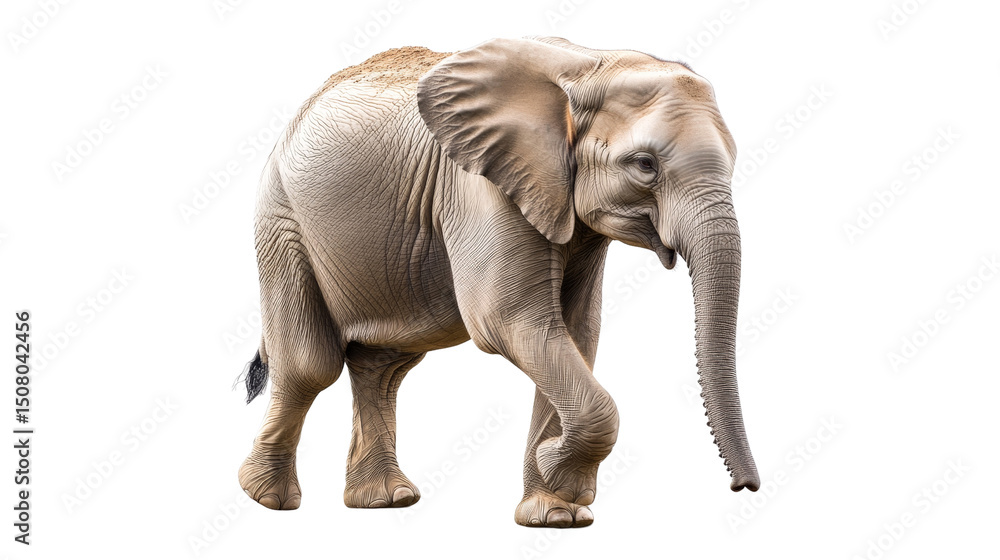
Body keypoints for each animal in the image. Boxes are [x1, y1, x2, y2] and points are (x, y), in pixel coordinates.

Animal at [237, 36, 760, 528]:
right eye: (645, 165)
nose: (745, 488)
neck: (592, 64)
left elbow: (574, 331)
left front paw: (557, 514)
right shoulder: (481, 187)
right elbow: (511, 321)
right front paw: (558, 473)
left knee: (383, 367)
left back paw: (386, 500)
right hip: (282, 219)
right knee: (311, 365)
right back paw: (266, 499)